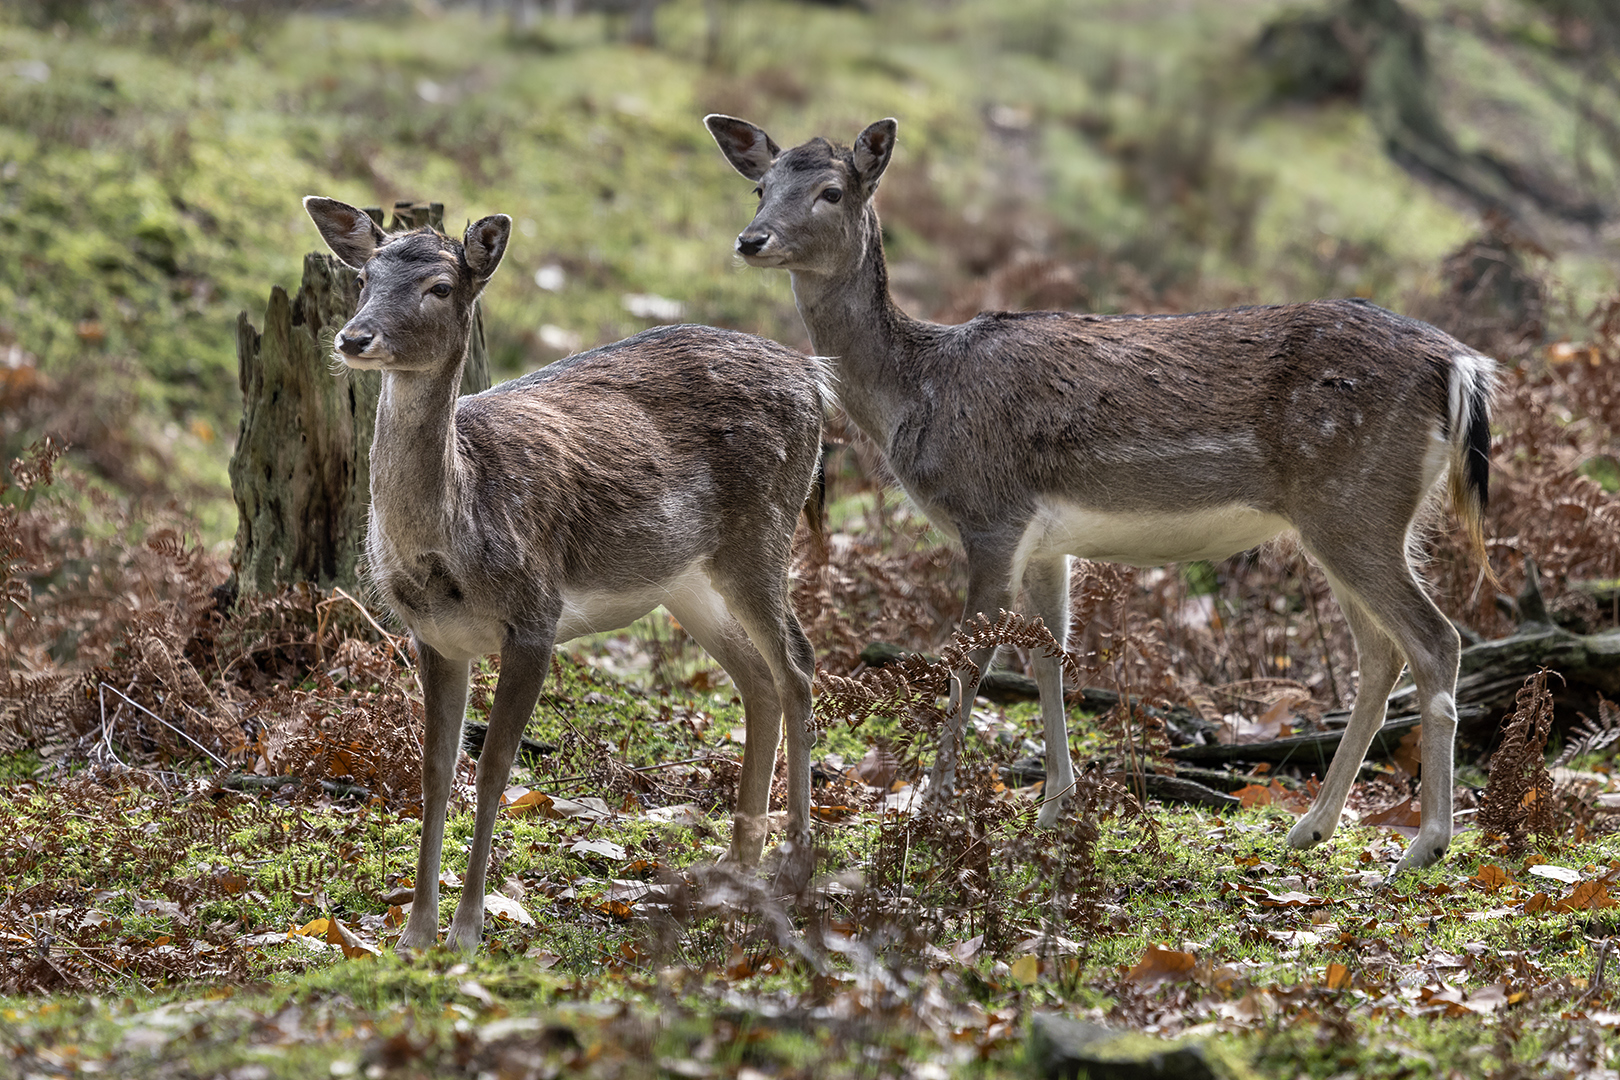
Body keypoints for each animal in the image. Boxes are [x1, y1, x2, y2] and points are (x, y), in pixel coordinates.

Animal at [706, 116, 1490, 880]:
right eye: (760, 188)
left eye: (832, 191)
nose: (750, 239)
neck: (916, 395)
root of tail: (1460, 365)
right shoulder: (1044, 542)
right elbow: (1050, 658)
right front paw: (1054, 807)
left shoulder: (991, 514)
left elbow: (970, 660)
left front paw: (927, 810)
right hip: (1356, 518)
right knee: (1380, 655)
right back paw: (1312, 828)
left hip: (1354, 505)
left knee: (1436, 639)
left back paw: (1426, 843)